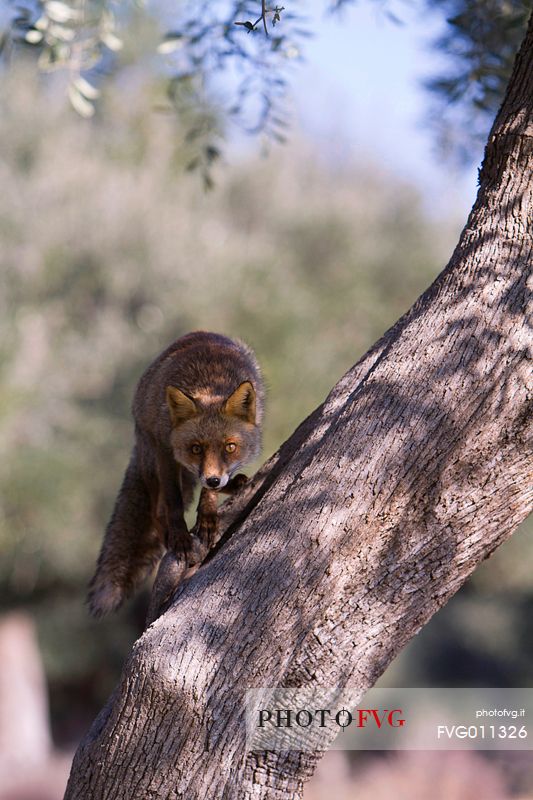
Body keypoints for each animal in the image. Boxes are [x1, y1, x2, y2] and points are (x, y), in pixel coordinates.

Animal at [88, 332, 264, 620]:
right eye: (196, 448)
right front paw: (180, 536)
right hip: (154, 463)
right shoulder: (166, 450)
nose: (213, 479)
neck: (208, 383)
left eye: (230, 447)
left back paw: (232, 485)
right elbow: (172, 504)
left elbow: (208, 496)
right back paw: (168, 537)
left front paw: (207, 516)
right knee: (156, 510)